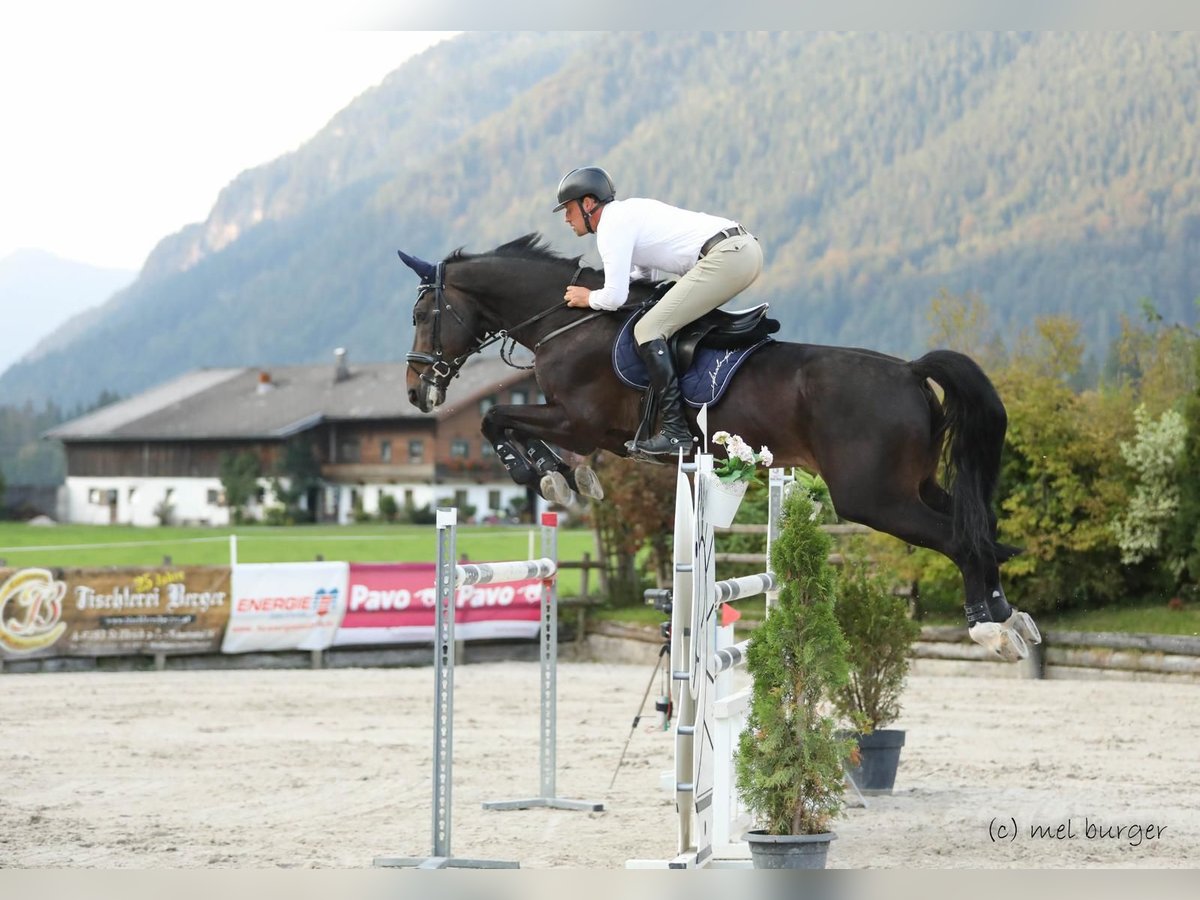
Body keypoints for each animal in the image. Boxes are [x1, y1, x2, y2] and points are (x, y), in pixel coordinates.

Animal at [396, 234, 1041, 662]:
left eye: (424, 313)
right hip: (915, 487)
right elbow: (513, 426)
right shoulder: (585, 430)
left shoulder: (578, 422)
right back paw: (1011, 616)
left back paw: (988, 628)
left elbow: (497, 420)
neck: (567, 322)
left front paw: (547, 476)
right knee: (976, 529)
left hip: (873, 499)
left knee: (959, 539)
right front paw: (570, 478)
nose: (416, 390)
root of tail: (909, 371)